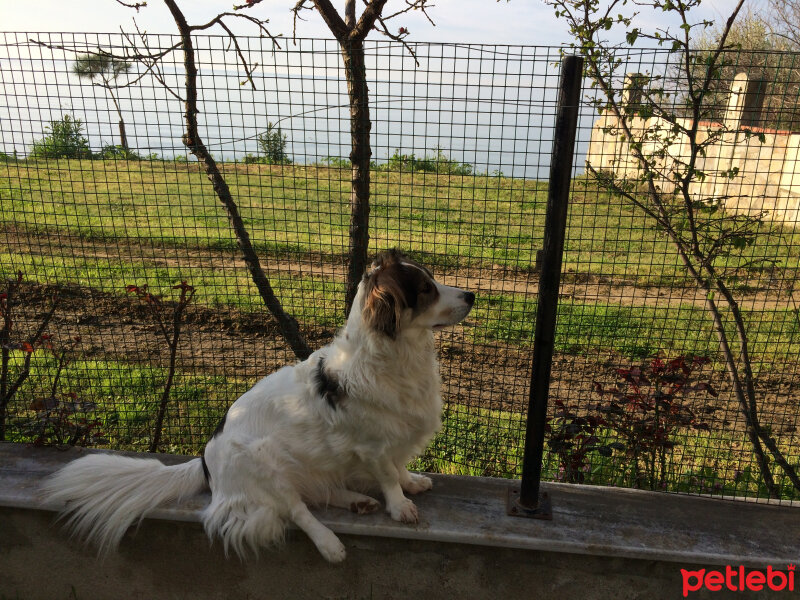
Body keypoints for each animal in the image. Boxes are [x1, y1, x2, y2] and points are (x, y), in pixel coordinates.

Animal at [43, 248, 476, 564]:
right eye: (426, 289)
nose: (472, 295)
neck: (395, 354)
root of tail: (206, 459)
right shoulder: (370, 446)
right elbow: (386, 473)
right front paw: (399, 505)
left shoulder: (395, 436)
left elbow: (398, 466)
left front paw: (411, 483)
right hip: (263, 461)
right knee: (296, 510)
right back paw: (330, 542)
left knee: (313, 493)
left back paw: (356, 500)